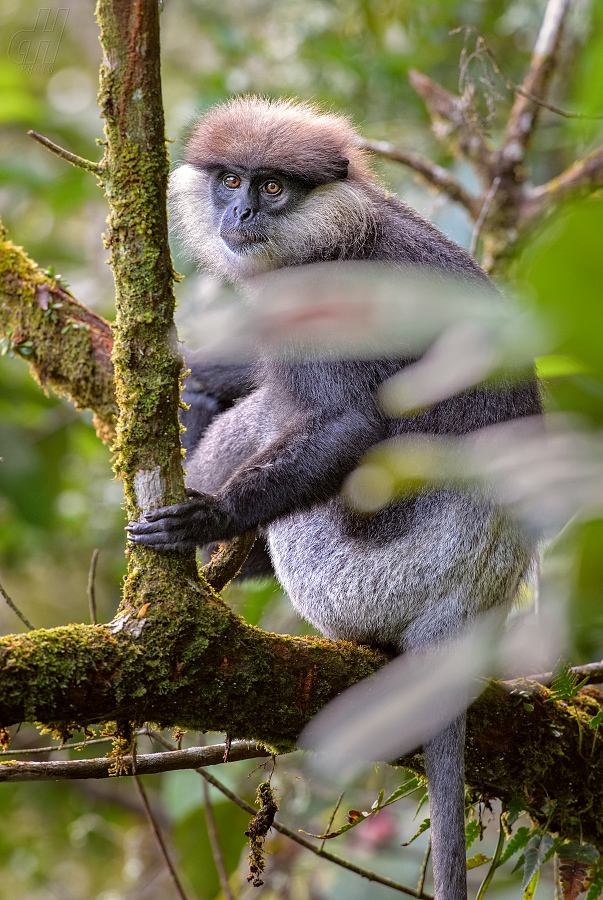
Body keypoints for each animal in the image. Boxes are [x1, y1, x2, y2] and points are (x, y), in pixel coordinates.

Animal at [129, 98, 544, 900]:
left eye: (272, 188)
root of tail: (461, 611)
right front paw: (201, 373)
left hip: (357, 580)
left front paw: (210, 517)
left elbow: (350, 424)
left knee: (275, 415)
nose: (239, 213)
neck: (345, 226)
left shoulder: (326, 291)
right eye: (231, 181)